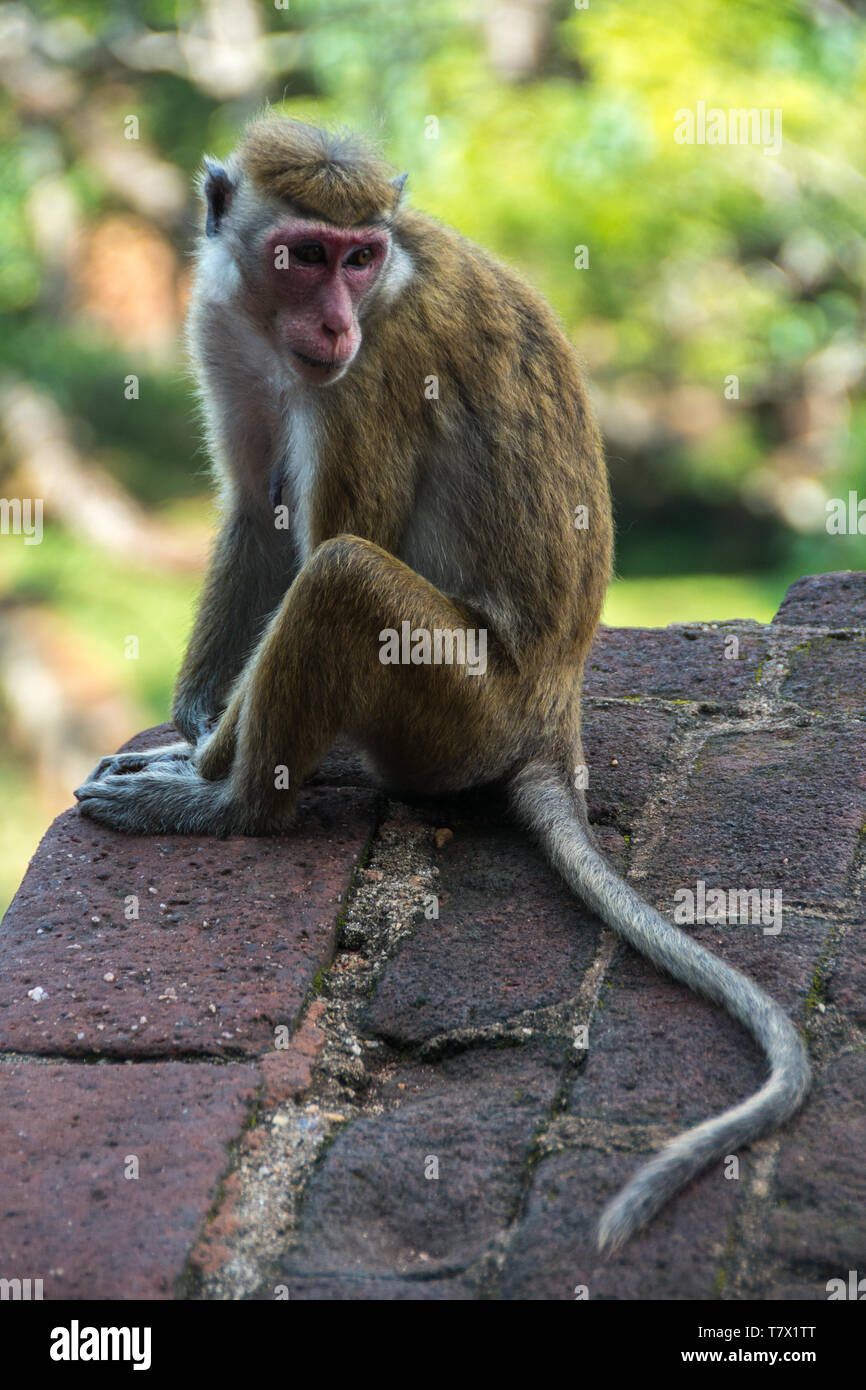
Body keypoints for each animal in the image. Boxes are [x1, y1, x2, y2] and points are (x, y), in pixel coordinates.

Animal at [75, 115, 810, 1252]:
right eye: (304, 254)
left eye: (359, 259)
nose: (335, 320)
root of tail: (552, 721)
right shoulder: (224, 322)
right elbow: (255, 511)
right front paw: (195, 717)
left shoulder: (377, 367)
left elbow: (330, 539)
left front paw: (198, 768)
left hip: (457, 711)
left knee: (342, 577)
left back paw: (232, 806)